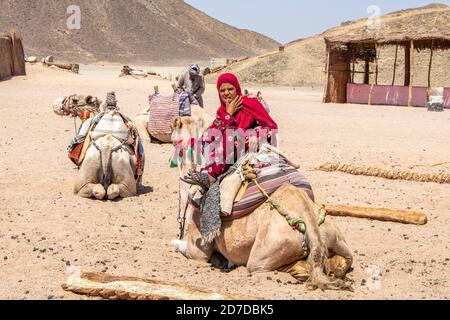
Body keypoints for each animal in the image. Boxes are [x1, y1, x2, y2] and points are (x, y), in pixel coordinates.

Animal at [171, 117, 354, 290]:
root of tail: (309, 222)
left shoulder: (198, 250)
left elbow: (179, 245)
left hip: (265, 251)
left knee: (267, 266)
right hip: (334, 237)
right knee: (343, 261)